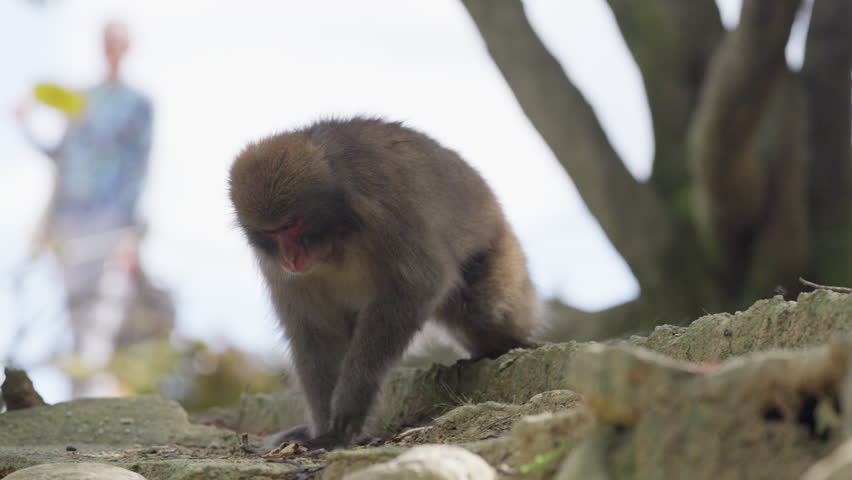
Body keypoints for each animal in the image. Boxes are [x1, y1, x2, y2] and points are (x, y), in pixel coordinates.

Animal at [229, 117, 537, 450]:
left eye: (292, 225)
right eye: (270, 233)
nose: (291, 257)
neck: (339, 233)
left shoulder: (384, 207)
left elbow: (416, 285)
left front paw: (352, 400)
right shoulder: (278, 269)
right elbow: (316, 332)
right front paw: (326, 430)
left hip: (496, 247)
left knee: (483, 309)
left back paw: (506, 344)